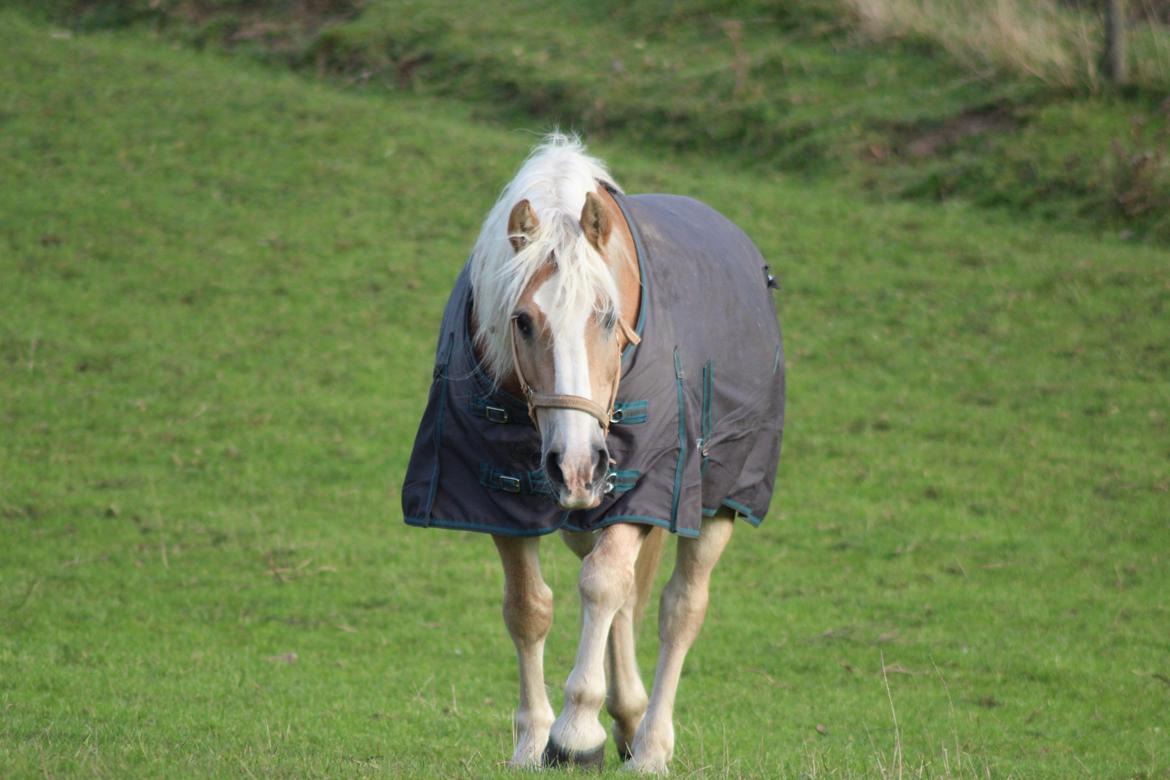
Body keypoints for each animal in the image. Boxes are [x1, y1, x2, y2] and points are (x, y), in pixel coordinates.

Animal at [402, 135, 786, 776]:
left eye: (607, 316)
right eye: (521, 321)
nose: (578, 464)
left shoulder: (641, 486)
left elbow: (602, 586)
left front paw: (576, 732)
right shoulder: (496, 497)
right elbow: (529, 607)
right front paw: (532, 740)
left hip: (717, 500)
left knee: (678, 609)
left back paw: (650, 743)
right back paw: (628, 718)